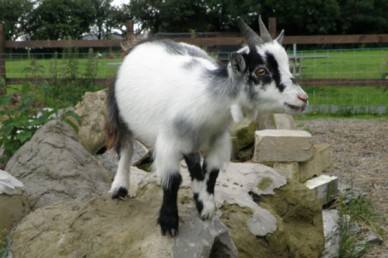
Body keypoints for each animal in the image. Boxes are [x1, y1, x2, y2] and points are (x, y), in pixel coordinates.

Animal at [104, 16, 308, 236]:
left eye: (287, 65)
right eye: (261, 71)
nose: (303, 98)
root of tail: (142, 43)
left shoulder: (217, 139)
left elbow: (211, 172)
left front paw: (206, 207)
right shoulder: (169, 142)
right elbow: (172, 180)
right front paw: (169, 222)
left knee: (193, 161)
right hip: (119, 114)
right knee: (126, 148)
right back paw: (119, 188)